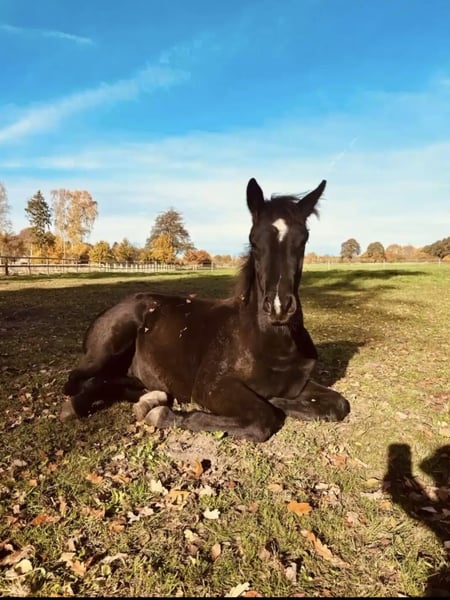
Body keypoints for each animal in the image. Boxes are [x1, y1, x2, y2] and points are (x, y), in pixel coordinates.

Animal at [60, 177, 350, 442]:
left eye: (304, 239)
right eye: (254, 241)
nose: (279, 308)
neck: (271, 343)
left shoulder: (298, 385)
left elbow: (338, 405)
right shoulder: (211, 388)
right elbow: (263, 418)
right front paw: (162, 414)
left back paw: (150, 396)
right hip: (106, 350)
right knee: (76, 383)